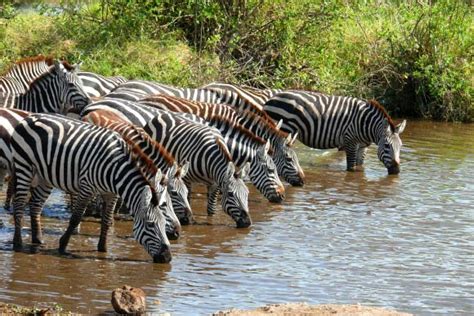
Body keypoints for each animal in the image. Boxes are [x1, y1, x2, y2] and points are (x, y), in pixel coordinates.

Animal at [10, 113, 172, 262]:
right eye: (150, 225)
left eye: (164, 223)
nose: (167, 257)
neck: (115, 169)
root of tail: (30, 117)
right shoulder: (87, 187)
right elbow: (76, 218)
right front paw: (62, 246)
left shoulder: (111, 194)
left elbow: (106, 220)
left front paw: (103, 249)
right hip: (24, 166)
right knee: (19, 203)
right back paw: (17, 243)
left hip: (45, 177)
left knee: (35, 205)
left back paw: (38, 240)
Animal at [262, 91, 408, 174]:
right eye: (387, 146)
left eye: (400, 146)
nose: (396, 171)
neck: (366, 124)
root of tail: (270, 99)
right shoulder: (350, 142)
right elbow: (351, 168)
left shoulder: (363, 146)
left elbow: (360, 165)